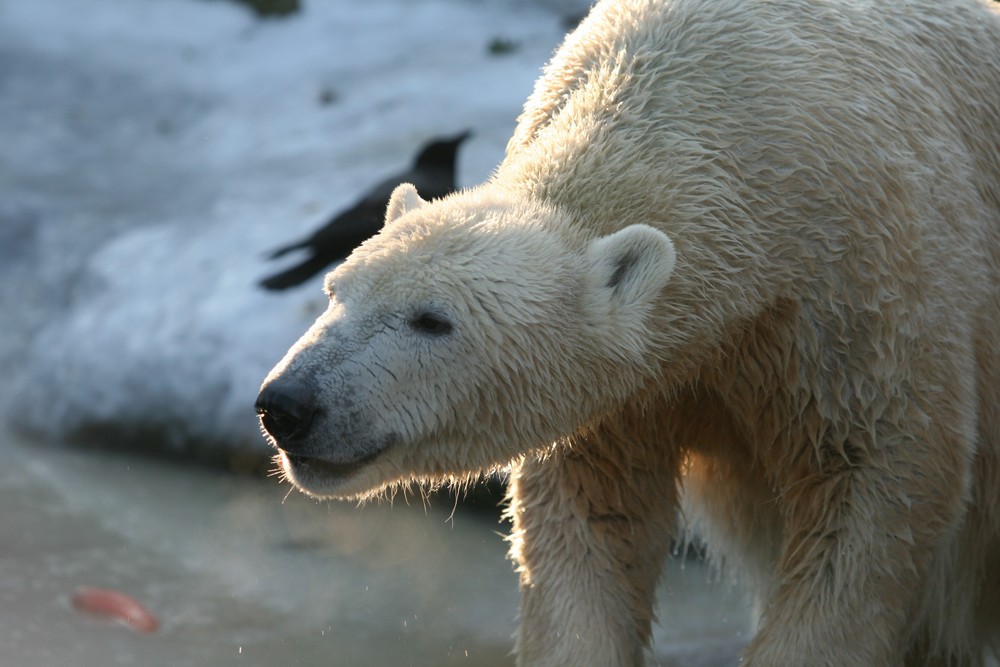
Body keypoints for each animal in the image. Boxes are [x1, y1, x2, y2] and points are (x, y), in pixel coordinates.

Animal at [256, 0, 1000, 664]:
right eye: (337, 292)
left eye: (433, 320)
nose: (286, 404)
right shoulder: (627, 399)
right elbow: (591, 526)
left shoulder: (856, 303)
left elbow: (869, 499)